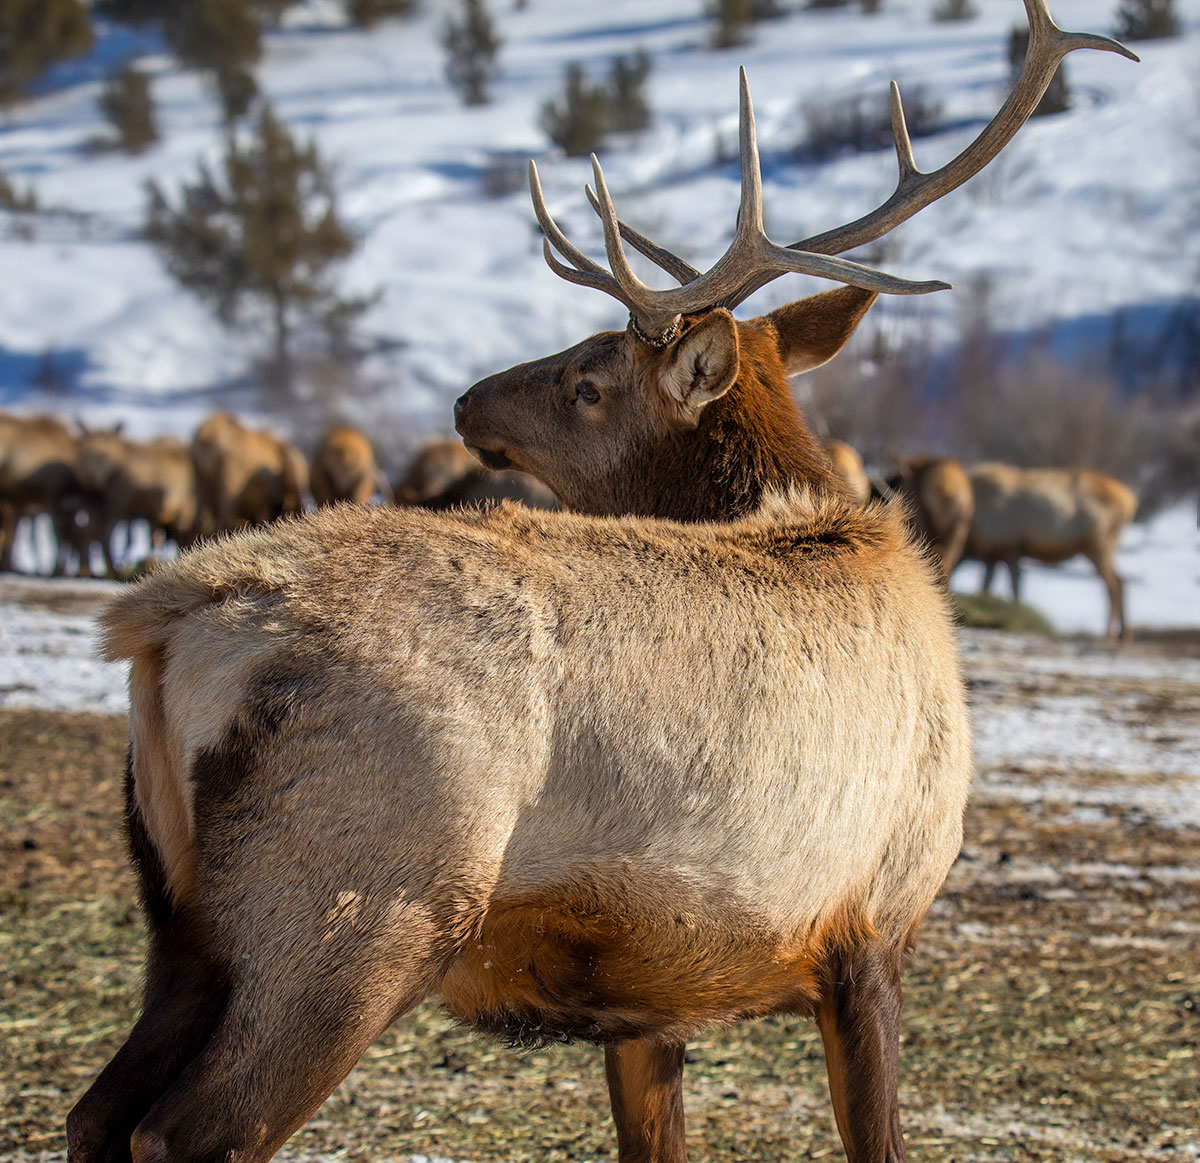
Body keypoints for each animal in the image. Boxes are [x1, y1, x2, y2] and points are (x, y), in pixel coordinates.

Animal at [68, 7, 1134, 1162]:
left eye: (586, 378)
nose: (466, 399)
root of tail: (165, 625)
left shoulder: (655, 992)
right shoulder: (872, 924)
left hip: (182, 917)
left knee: (97, 1109)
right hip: (355, 907)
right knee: (189, 1129)